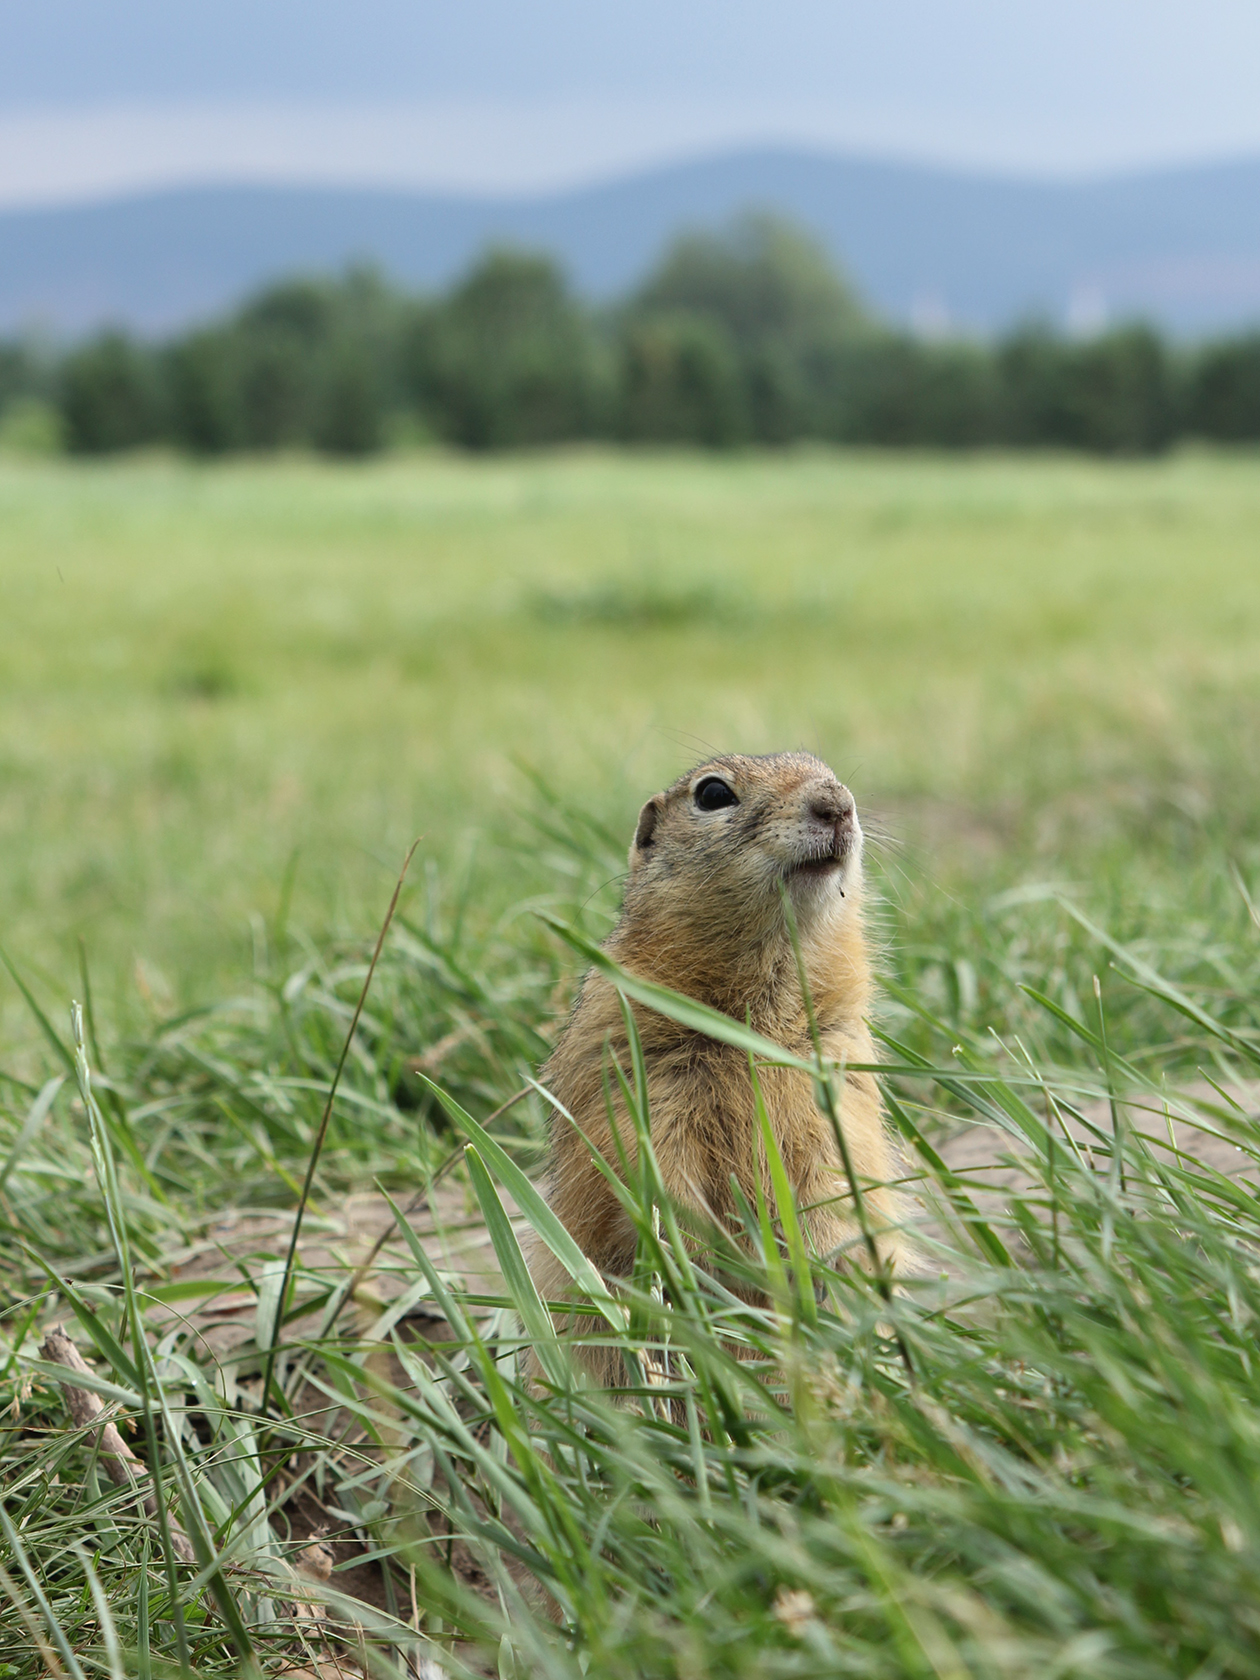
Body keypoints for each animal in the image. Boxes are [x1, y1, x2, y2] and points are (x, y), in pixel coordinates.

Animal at [530, 752, 907, 1377]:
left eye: (823, 764)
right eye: (711, 794)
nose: (836, 803)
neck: (755, 1025)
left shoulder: (841, 1083)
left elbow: (838, 1180)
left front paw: (819, 1274)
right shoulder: (641, 1084)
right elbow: (656, 1182)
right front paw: (700, 1269)